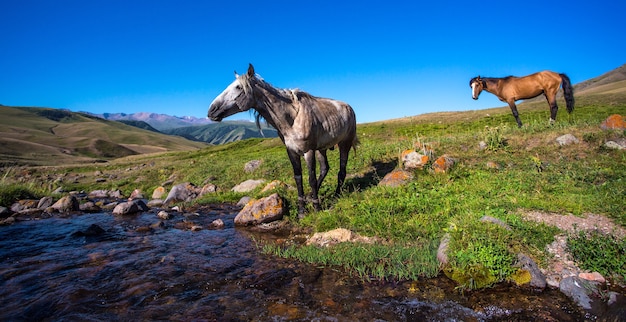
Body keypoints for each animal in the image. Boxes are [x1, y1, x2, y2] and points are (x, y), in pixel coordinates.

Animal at [208, 64, 358, 215]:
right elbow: (298, 178)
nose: (211, 111)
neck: (292, 118)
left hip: (344, 144)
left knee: (341, 171)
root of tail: (349, 108)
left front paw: (316, 208)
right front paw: (302, 211)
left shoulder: (308, 151)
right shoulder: (291, 151)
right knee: (324, 169)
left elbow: (311, 179)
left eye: (238, 87)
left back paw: (336, 195)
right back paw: (312, 196)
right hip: (322, 148)